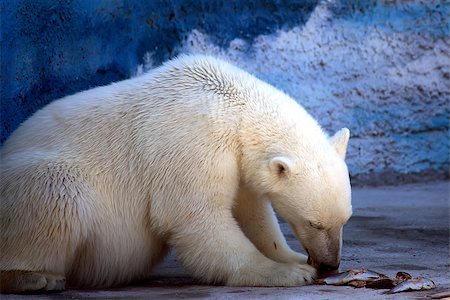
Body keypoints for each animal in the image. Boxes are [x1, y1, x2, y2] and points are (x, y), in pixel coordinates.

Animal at [0, 54, 352, 292]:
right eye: (314, 223)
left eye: (344, 220)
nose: (329, 264)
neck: (233, 105)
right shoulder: (194, 137)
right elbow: (193, 214)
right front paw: (287, 273)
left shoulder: (237, 160)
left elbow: (253, 213)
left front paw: (291, 258)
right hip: (41, 179)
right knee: (57, 191)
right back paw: (36, 277)